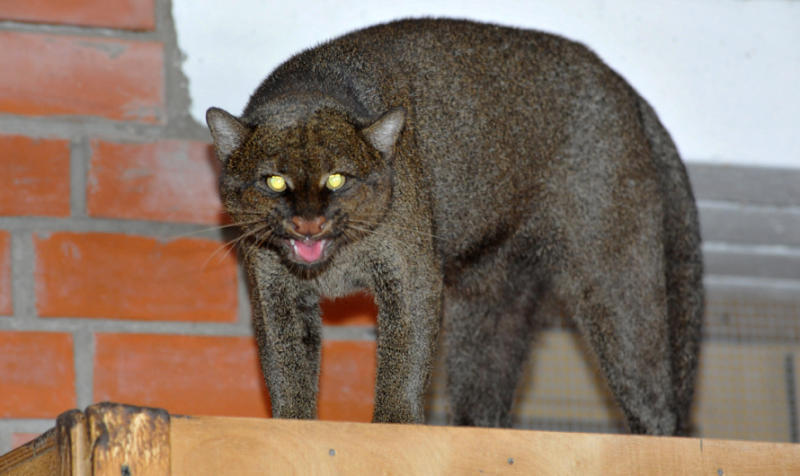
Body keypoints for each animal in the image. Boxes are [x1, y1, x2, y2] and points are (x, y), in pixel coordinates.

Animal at [206, 17, 700, 436]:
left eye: (337, 178)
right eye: (273, 181)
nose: (308, 220)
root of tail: (623, 86)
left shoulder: (409, 270)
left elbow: (404, 355)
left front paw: (395, 424)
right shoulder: (274, 287)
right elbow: (286, 363)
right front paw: (292, 425)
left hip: (612, 280)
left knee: (653, 395)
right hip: (493, 300)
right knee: (486, 389)